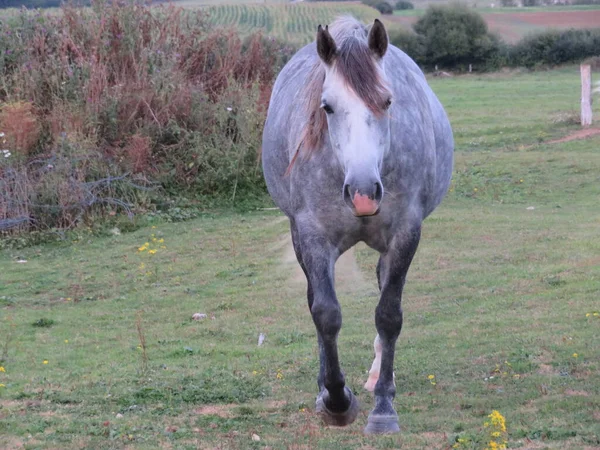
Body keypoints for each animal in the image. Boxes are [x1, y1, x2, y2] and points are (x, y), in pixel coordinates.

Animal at [260, 15, 452, 434]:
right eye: (327, 107)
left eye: (387, 101)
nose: (363, 193)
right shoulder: (313, 237)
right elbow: (325, 314)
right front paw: (335, 401)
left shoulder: (405, 235)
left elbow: (389, 315)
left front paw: (383, 406)